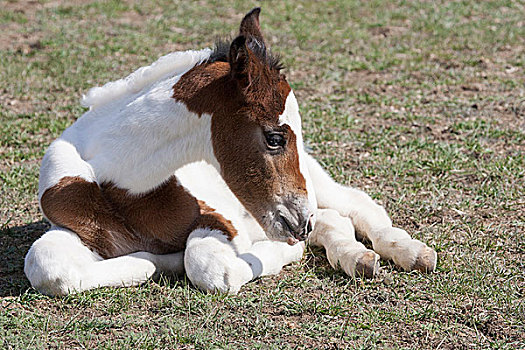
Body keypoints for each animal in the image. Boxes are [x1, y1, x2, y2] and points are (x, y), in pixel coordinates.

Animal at [24, 8, 436, 296]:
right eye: (274, 138)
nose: (299, 222)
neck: (118, 186)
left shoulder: (221, 218)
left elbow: (209, 266)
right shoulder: (69, 227)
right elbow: (46, 266)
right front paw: (158, 261)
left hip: (317, 184)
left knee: (357, 205)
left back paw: (409, 251)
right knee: (333, 220)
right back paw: (356, 257)